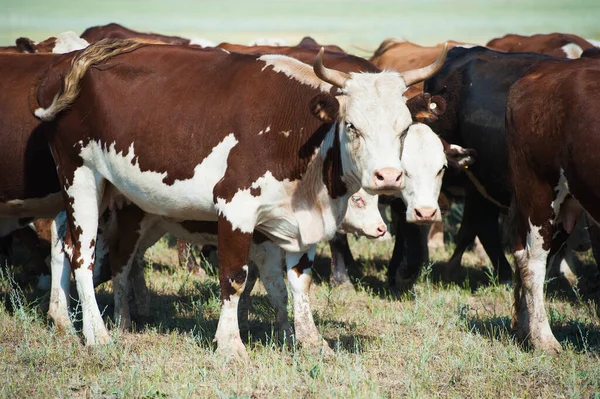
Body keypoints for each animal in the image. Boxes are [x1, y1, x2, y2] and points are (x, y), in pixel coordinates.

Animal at [31, 39, 464, 360]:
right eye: (352, 125)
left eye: (403, 128)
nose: (387, 176)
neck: (297, 134)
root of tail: (66, 64)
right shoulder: (235, 209)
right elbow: (235, 279)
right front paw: (231, 344)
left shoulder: (300, 222)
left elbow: (299, 283)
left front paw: (312, 342)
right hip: (80, 177)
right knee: (83, 255)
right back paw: (97, 334)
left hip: (109, 190)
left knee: (72, 246)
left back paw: (76, 322)